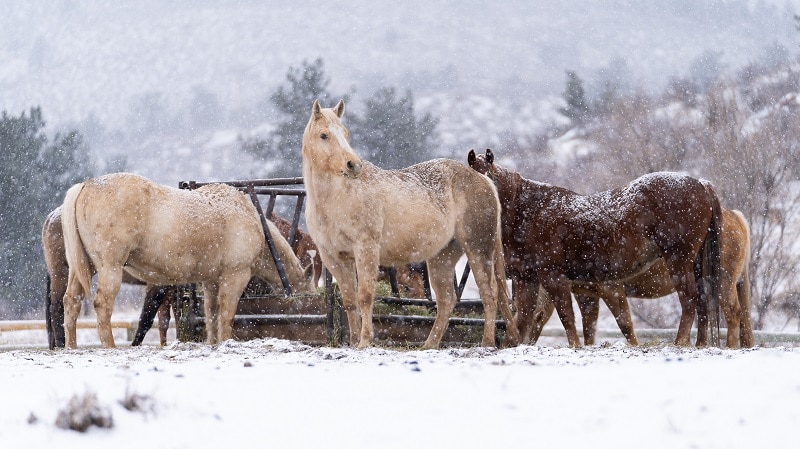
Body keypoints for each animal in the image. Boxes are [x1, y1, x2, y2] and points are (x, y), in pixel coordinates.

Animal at [60, 173, 314, 348]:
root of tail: (87, 185)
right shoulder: (234, 277)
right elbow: (227, 314)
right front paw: (226, 342)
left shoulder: (211, 281)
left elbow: (211, 313)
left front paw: (214, 344)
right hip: (110, 268)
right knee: (102, 304)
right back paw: (110, 346)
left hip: (83, 268)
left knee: (71, 301)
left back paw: (71, 346)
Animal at [302, 100, 520, 349]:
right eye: (324, 135)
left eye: (345, 133)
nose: (353, 165)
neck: (337, 198)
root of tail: (484, 180)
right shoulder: (334, 257)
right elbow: (350, 300)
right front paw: (355, 341)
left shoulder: (366, 249)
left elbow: (365, 296)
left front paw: (365, 341)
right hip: (443, 256)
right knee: (447, 300)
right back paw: (429, 345)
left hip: (478, 248)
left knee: (490, 293)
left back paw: (486, 342)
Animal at [467, 148, 722, 348]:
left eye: (492, 180)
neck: (532, 212)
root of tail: (700, 184)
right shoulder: (526, 278)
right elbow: (524, 318)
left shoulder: (553, 277)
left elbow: (567, 316)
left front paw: (575, 346)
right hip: (695, 263)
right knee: (702, 300)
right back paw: (699, 344)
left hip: (678, 260)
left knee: (689, 299)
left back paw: (680, 342)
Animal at [526, 208, 753, 348]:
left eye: (537, 316)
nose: (523, 342)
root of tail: (735, 217)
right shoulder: (586, 294)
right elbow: (589, 327)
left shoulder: (611, 288)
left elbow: (625, 324)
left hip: (722, 280)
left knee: (733, 311)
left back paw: (729, 347)